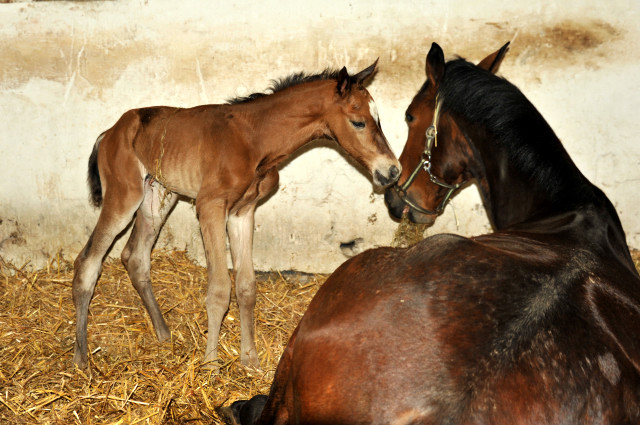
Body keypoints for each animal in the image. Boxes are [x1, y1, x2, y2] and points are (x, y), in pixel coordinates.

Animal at [71, 61, 400, 370]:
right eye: (358, 122)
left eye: (379, 120)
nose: (393, 170)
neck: (253, 139)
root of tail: (109, 132)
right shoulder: (210, 207)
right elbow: (219, 288)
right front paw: (211, 365)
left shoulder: (243, 212)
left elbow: (246, 286)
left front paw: (249, 359)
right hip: (124, 197)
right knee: (88, 261)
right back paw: (81, 357)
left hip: (158, 198)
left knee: (135, 257)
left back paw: (163, 334)